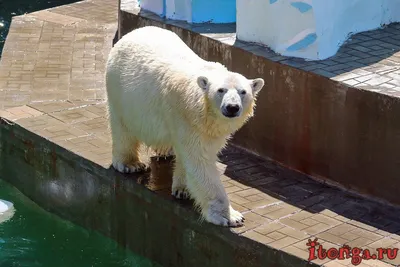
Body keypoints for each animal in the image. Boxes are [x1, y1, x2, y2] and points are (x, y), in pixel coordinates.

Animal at [105, 26, 266, 228]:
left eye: (243, 92)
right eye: (220, 90)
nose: (232, 107)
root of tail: (130, 34)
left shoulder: (204, 127)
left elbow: (189, 156)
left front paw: (183, 190)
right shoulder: (187, 118)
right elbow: (200, 161)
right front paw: (230, 217)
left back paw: (164, 150)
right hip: (120, 91)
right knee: (123, 127)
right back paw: (130, 164)